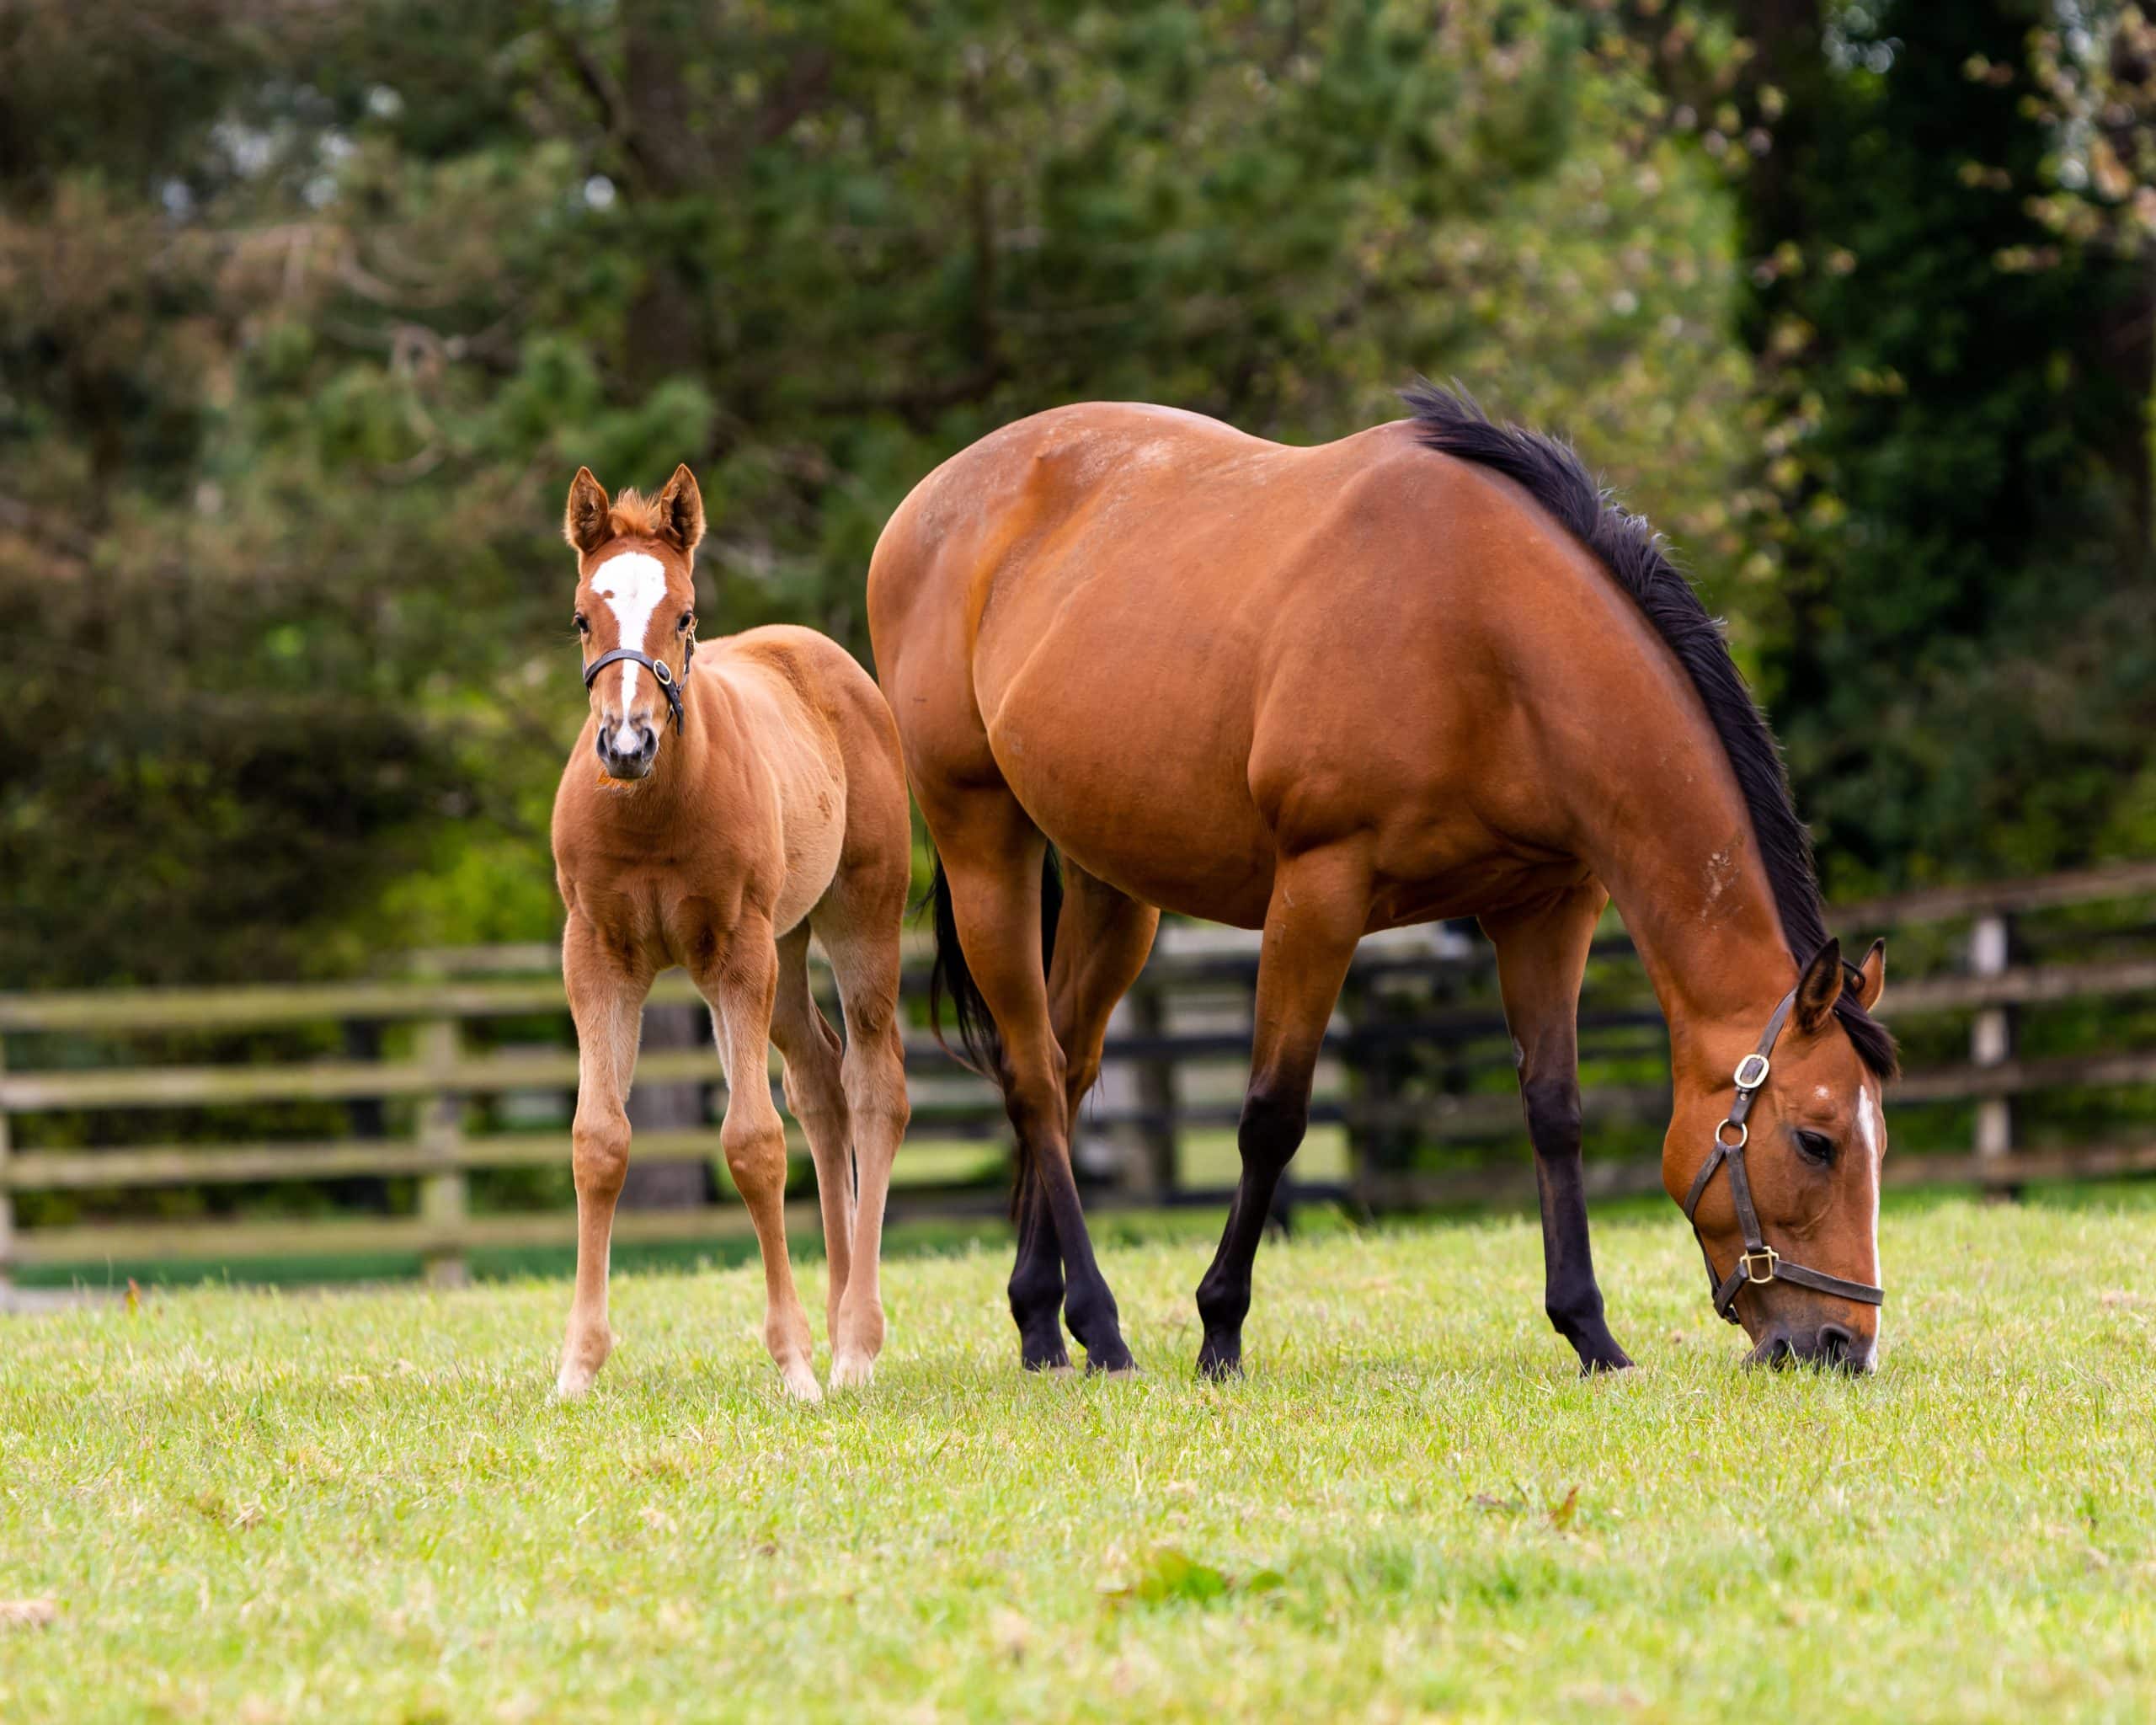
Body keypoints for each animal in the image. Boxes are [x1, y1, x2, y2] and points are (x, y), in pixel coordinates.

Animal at [552, 461, 914, 1397]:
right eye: (582, 615)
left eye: (683, 615)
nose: (628, 743)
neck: (653, 811)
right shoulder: (597, 954)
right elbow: (598, 1140)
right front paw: (576, 1367)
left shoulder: (735, 953)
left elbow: (752, 1143)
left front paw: (794, 1366)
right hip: (784, 951)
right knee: (820, 1082)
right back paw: (837, 1316)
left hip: (859, 917)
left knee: (874, 1087)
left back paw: (854, 1344)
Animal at [867, 387, 1897, 1371]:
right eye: (1816, 1141)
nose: (1841, 1345)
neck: (1486, 631)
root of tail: (932, 499)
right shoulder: (1319, 891)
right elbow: (1272, 1117)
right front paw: (1219, 1329)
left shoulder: (1547, 905)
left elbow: (1553, 1110)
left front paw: (1590, 1334)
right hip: (982, 839)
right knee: (1036, 1075)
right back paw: (1100, 1325)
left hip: (1112, 884)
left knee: (1067, 1064)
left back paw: (1042, 1323)